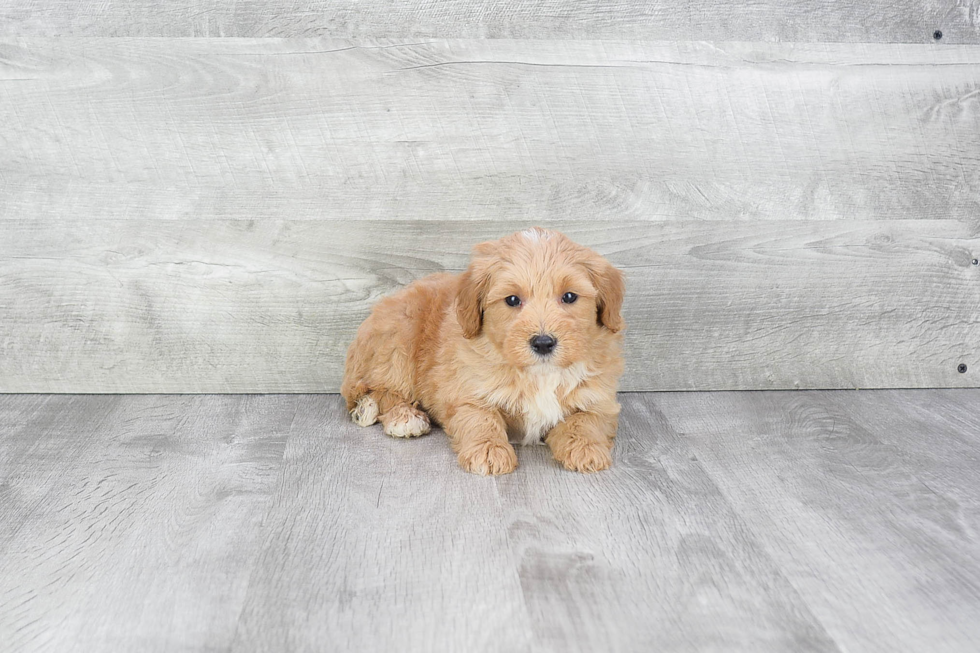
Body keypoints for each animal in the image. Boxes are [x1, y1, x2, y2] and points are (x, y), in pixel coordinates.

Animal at [340, 228, 624, 474]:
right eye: (512, 300)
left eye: (569, 297)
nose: (543, 343)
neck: (539, 374)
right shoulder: (466, 388)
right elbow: (480, 418)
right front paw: (489, 451)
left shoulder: (599, 398)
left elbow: (586, 420)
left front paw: (586, 448)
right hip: (398, 340)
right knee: (385, 390)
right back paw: (403, 417)